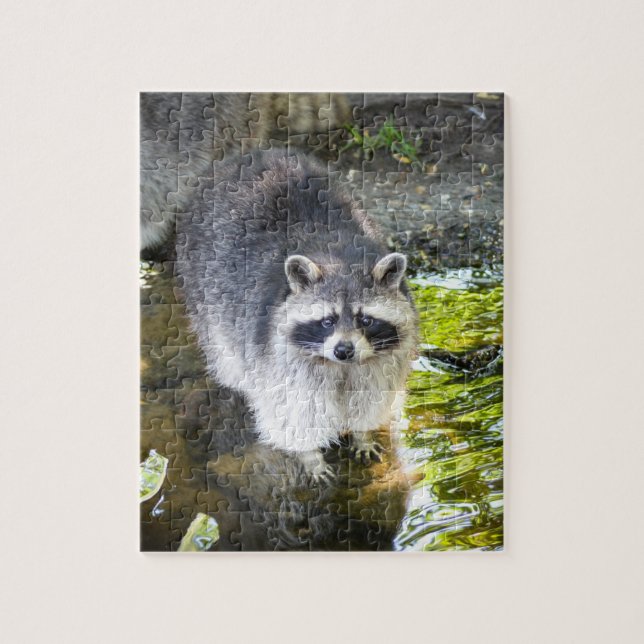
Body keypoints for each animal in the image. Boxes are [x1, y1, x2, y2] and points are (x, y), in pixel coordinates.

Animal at [176, 149, 418, 482]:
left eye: (365, 320)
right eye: (327, 321)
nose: (344, 351)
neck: (340, 261)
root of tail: (250, 155)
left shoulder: (385, 360)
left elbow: (371, 396)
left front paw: (362, 433)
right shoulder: (278, 356)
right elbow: (293, 411)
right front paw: (310, 455)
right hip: (202, 287)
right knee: (227, 355)